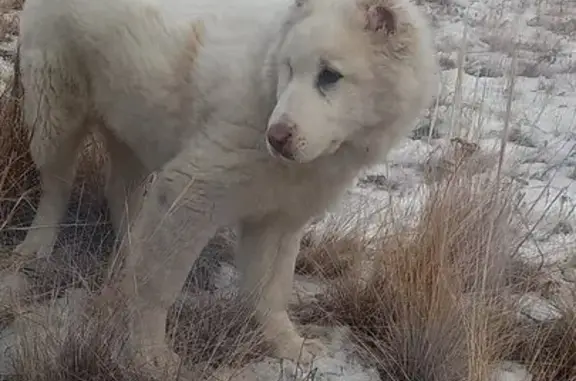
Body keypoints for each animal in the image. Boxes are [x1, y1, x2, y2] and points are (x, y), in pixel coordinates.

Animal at [19, 0, 436, 372]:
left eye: (330, 75)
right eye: (288, 69)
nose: (277, 137)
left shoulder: (278, 218)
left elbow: (270, 290)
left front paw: (289, 346)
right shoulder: (191, 191)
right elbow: (159, 285)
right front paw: (148, 355)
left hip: (131, 127)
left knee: (122, 193)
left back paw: (127, 255)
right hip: (56, 108)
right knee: (57, 183)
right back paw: (37, 246)